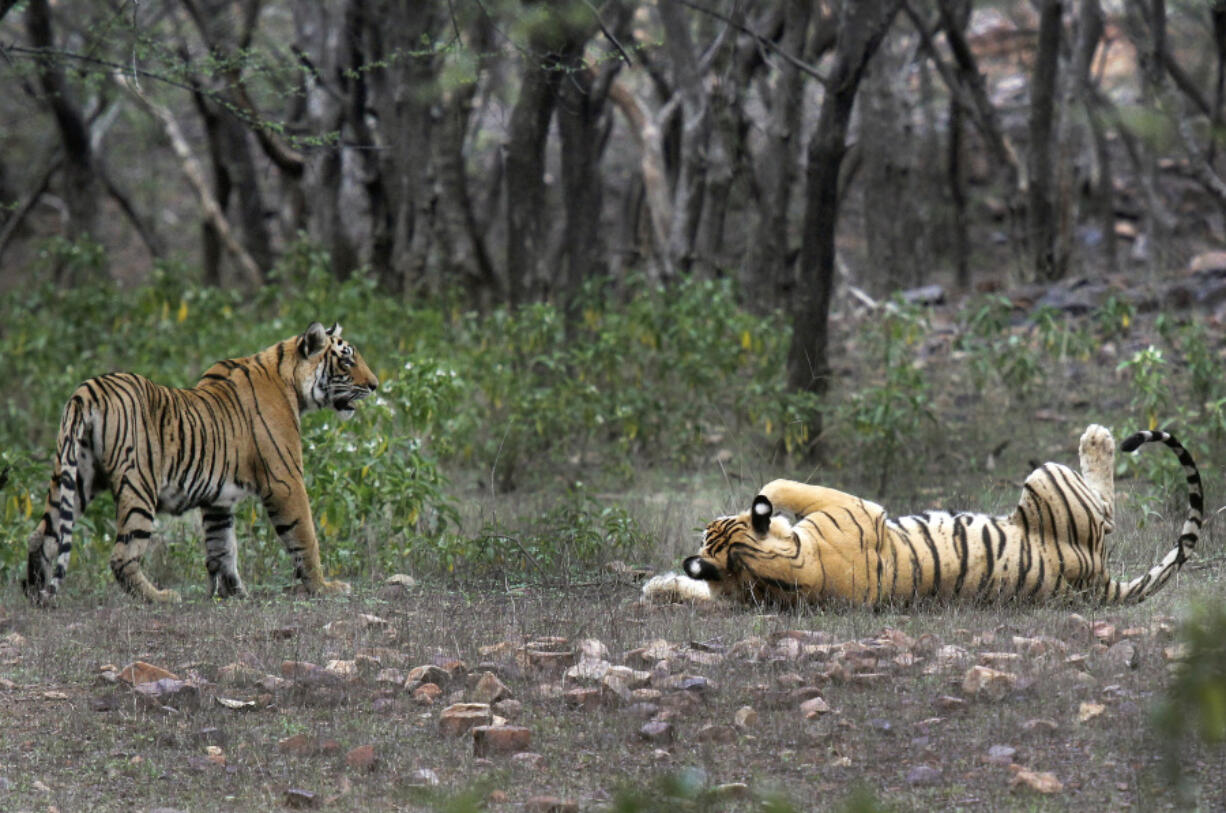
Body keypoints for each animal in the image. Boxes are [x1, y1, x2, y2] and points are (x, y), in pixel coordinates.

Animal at [22, 318, 377, 603]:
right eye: (347, 360)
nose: (374, 385)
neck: (291, 382)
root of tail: (88, 389)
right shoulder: (285, 480)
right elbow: (305, 537)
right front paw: (324, 587)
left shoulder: (218, 500)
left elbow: (223, 547)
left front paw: (235, 593)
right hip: (138, 484)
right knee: (122, 555)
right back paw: (160, 597)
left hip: (76, 476)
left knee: (43, 535)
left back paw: (34, 592)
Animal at [647, 429, 1201, 608]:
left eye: (711, 527)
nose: (711, 518)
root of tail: (1099, 579)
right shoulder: (853, 507)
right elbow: (780, 487)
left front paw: (657, 586)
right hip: (1047, 477)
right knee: (1106, 509)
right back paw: (1099, 437)